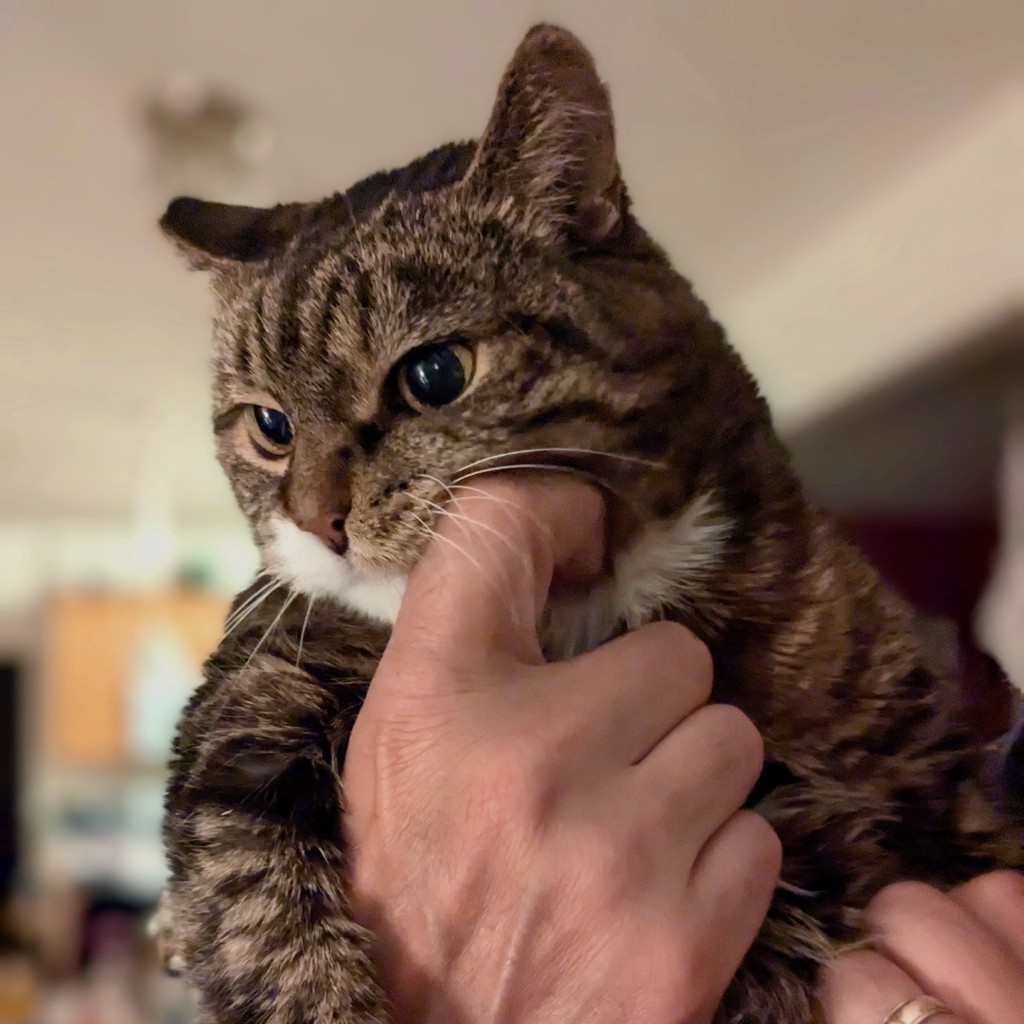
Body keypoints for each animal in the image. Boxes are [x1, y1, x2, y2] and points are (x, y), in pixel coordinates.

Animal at [159, 22, 1024, 1024]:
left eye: (434, 375)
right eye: (269, 426)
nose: (315, 520)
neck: (593, 602)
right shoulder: (248, 700)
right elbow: (251, 898)